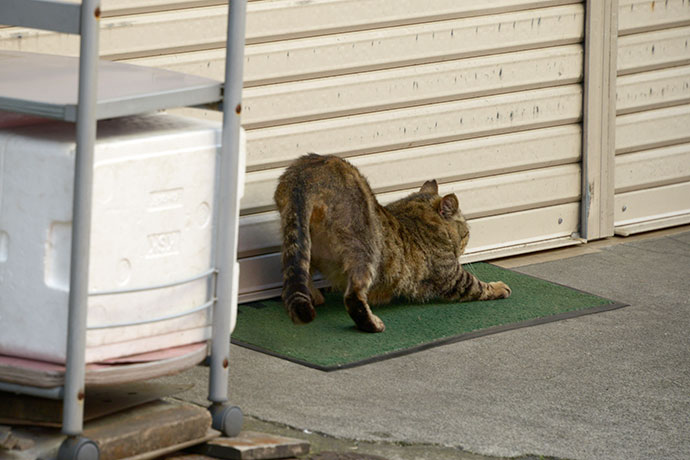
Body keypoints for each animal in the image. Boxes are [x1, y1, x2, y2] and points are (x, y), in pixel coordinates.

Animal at [272, 153, 508, 332]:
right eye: (466, 233)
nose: (466, 244)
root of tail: (306, 174)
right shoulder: (452, 276)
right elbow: (477, 285)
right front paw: (499, 287)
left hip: (299, 237)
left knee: (298, 274)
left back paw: (315, 296)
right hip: (366, 249)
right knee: (352, 296)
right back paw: (372, 324)